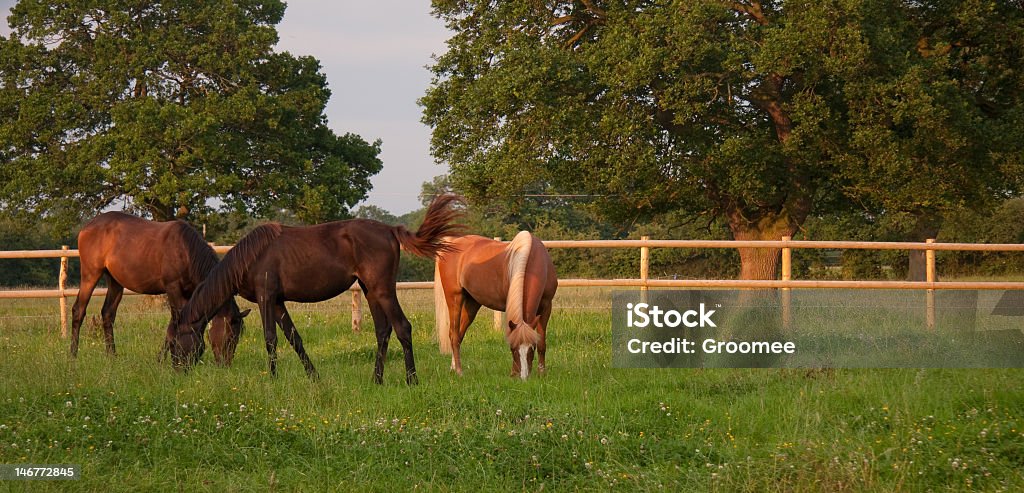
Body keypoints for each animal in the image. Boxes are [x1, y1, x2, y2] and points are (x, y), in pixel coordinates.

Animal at [72, 209, 251, 362]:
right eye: (230, 336)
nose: (225, 363)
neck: (186, 251)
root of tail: (86, 228)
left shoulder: (188, 294)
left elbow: (176, 324)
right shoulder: (173, 289)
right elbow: (175, 323)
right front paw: (166, 358)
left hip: (115, 281)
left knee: (108, 313)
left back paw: (112, 356)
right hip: (90, 274)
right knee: (78, 310)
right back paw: (73, 356)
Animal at [169, 193, 466, 383]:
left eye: (175, 342)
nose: (177, 372)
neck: (251, 257)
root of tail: (390, 230)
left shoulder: (266, 298)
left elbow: (270, 338)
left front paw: (273, 380)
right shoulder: (278, 302)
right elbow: (295, 339)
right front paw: (313, 377)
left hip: (382, 290)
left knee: (403, 327)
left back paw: (411, 380)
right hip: (370, 291)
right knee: (383, 331)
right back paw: (376, 380)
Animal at [434, 229, 561, 377]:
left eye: (532, 348)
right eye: (512, 348)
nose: (523, 376)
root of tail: (451, 242)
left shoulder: (547, 307)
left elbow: (542, 343)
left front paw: (542, 373)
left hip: (472, 303)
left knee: (459, 335)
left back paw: (453, 368)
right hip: (454, 298)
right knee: (453, 335)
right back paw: (459, 371)